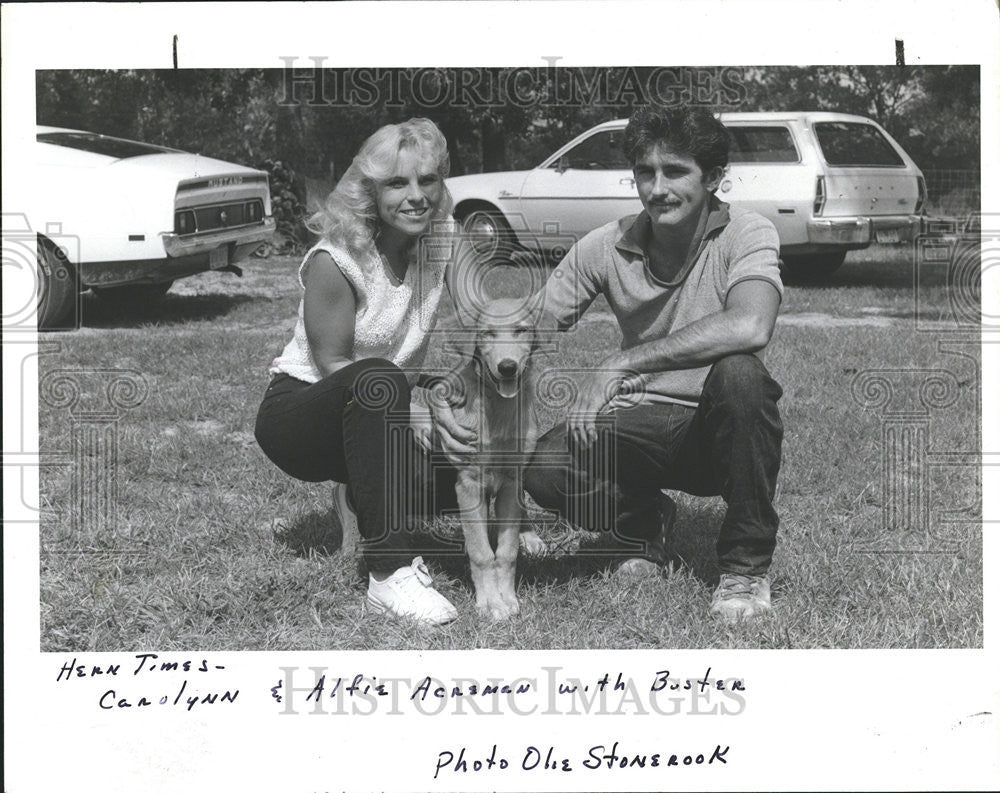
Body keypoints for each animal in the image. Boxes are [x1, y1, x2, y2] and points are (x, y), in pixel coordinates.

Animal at [444, 296, 544, 620]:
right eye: (487, 333)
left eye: (521, 330)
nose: (508, 367)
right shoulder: (469, 484)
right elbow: (481, 552)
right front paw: (490, 601)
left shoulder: (511, 481)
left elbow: (506, 551)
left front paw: (506, 596)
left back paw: (530, 536)